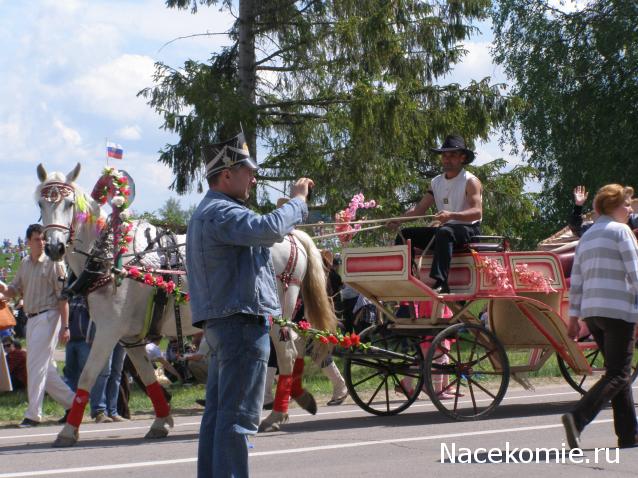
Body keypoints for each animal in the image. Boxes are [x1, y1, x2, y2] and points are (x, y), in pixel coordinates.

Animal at [35, 163, 338, 444]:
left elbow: (86, 377)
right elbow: (148, 377)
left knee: (286, 353)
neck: (112, 258)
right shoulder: (130, 338)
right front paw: (161, 421)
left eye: (69, 204)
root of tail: (292, 235)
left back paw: (276, 414)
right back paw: (298, 395)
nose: (53, 248)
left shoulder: (108, 332)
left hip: (276, 314)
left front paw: (68, 431)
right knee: (298, 345)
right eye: (41, 203)